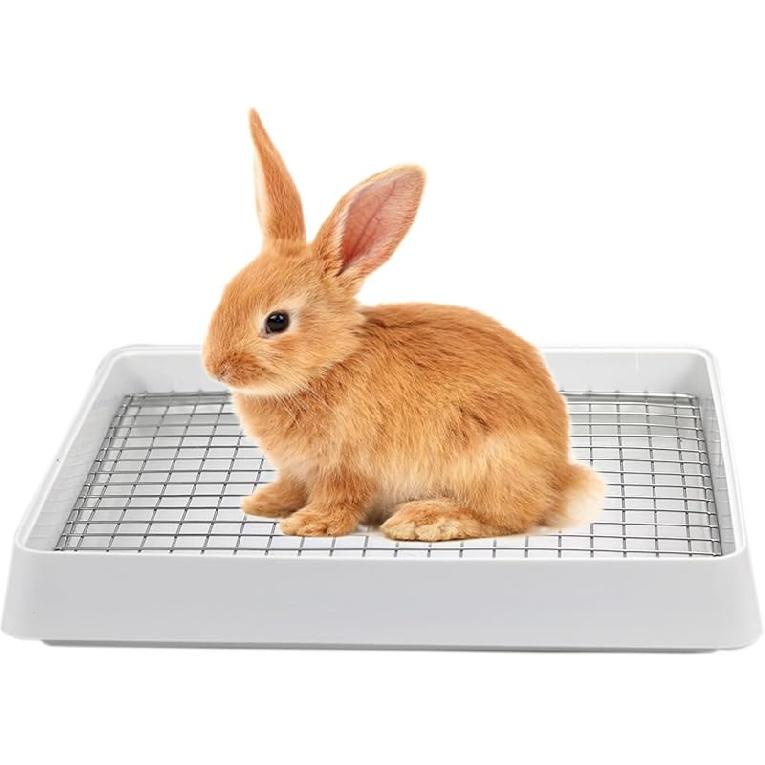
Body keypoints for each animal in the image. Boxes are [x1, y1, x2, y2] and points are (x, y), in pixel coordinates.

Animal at [203, 108, 605, 541]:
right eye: (227, 293)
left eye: (277, 321)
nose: (216, 367)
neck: (330, 362)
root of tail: (559, 478)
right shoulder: (299, 470)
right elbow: (293, 486)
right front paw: (265, 503)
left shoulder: (346, 466)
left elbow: (340, 499)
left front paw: (310, 523)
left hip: (488, 453)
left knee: (510, 514)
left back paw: (425, 519)